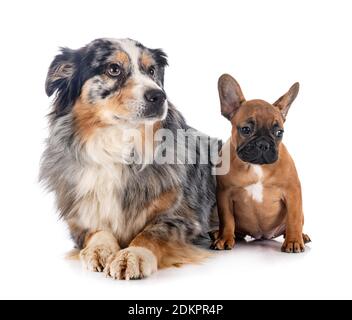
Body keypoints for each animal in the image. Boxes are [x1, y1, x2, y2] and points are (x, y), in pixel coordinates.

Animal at [210, 75, 310, 252]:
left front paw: (293, 241)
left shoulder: (292, 192)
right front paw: (224, 238)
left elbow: (294, 218)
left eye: (279, 132)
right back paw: (220, 234)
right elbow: (227, 219)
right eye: (246, 129)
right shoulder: (224, 193)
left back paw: (301, 237)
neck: (255, 166)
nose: (263, 144)